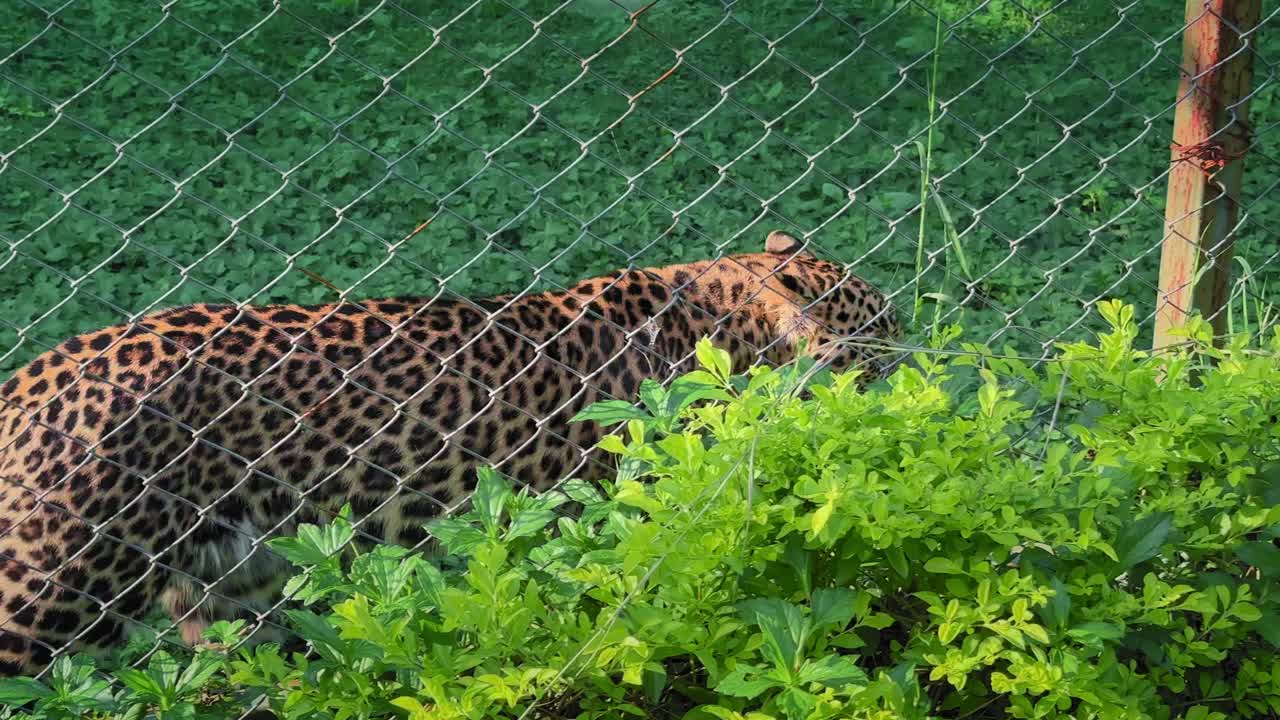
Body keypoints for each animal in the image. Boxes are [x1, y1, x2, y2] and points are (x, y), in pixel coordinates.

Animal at [0, 230, 900, 676]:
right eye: (880, 324)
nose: (913, 354)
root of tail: (31, 378)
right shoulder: (591, 524)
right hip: (57, 580)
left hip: (233, 580)